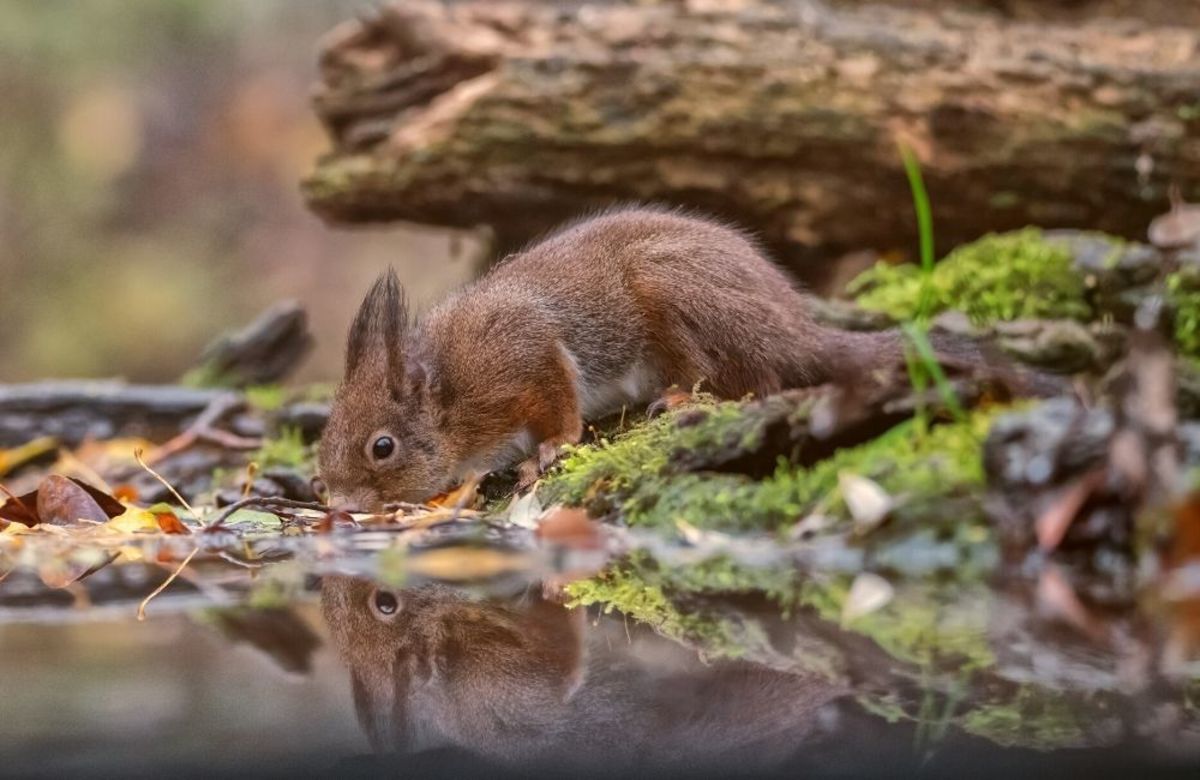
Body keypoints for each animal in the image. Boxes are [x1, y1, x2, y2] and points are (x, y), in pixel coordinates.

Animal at [321, 205, 1003, 511]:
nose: (339, 504)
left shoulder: (522, 349)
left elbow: (559, 401)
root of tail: (794, 324)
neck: (451, 389)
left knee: (757, 379)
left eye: (382, 447)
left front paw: (550, 448)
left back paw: (683, 397)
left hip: (675, 292)